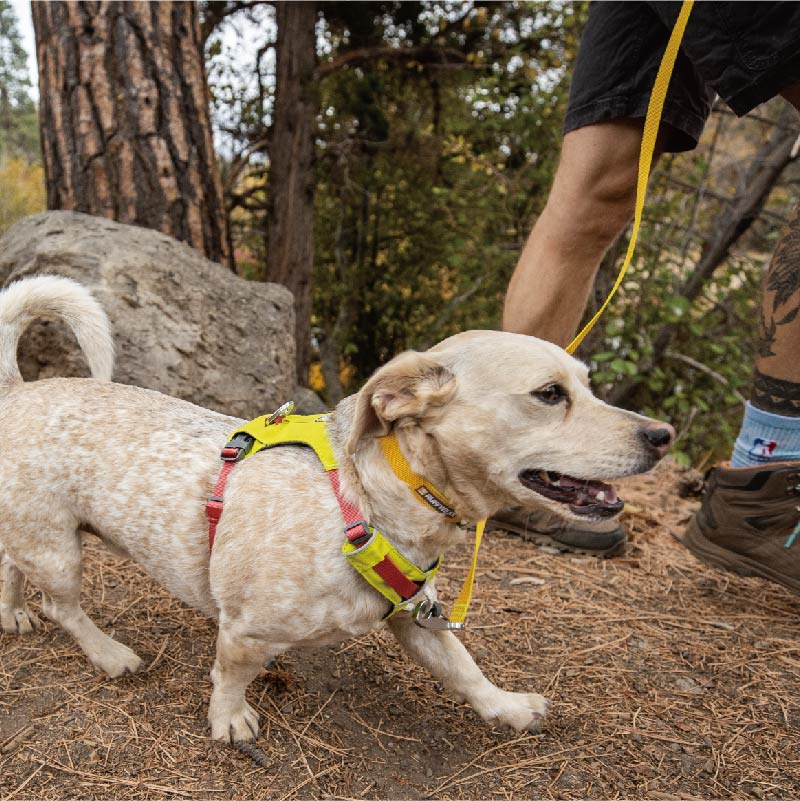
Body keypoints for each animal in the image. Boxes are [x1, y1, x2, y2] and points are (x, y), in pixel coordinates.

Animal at [0, 276, 676, 736]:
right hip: (58, 550)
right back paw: (108, 653)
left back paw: (13, 615)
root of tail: (19, 389)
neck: (370, 500)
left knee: (11, 569)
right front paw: (230, 721)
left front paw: (506, 707)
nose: (663, 435)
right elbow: (230, 677)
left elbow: (463, 669)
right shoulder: (244, 632)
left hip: (29, 533)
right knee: (64, 607)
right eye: (550, 394)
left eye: (587, 385)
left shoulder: (417, 617)